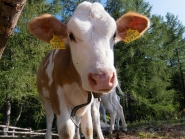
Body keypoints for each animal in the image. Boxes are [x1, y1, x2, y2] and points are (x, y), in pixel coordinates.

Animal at [27, 1, 150, 139]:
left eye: (114, 35)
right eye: (71, 35)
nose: (103, 78)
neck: (76, 80)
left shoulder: (88, 100)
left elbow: (88, 128)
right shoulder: (56, 94)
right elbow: (66, 130)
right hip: (45, 99)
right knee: (49, 119)